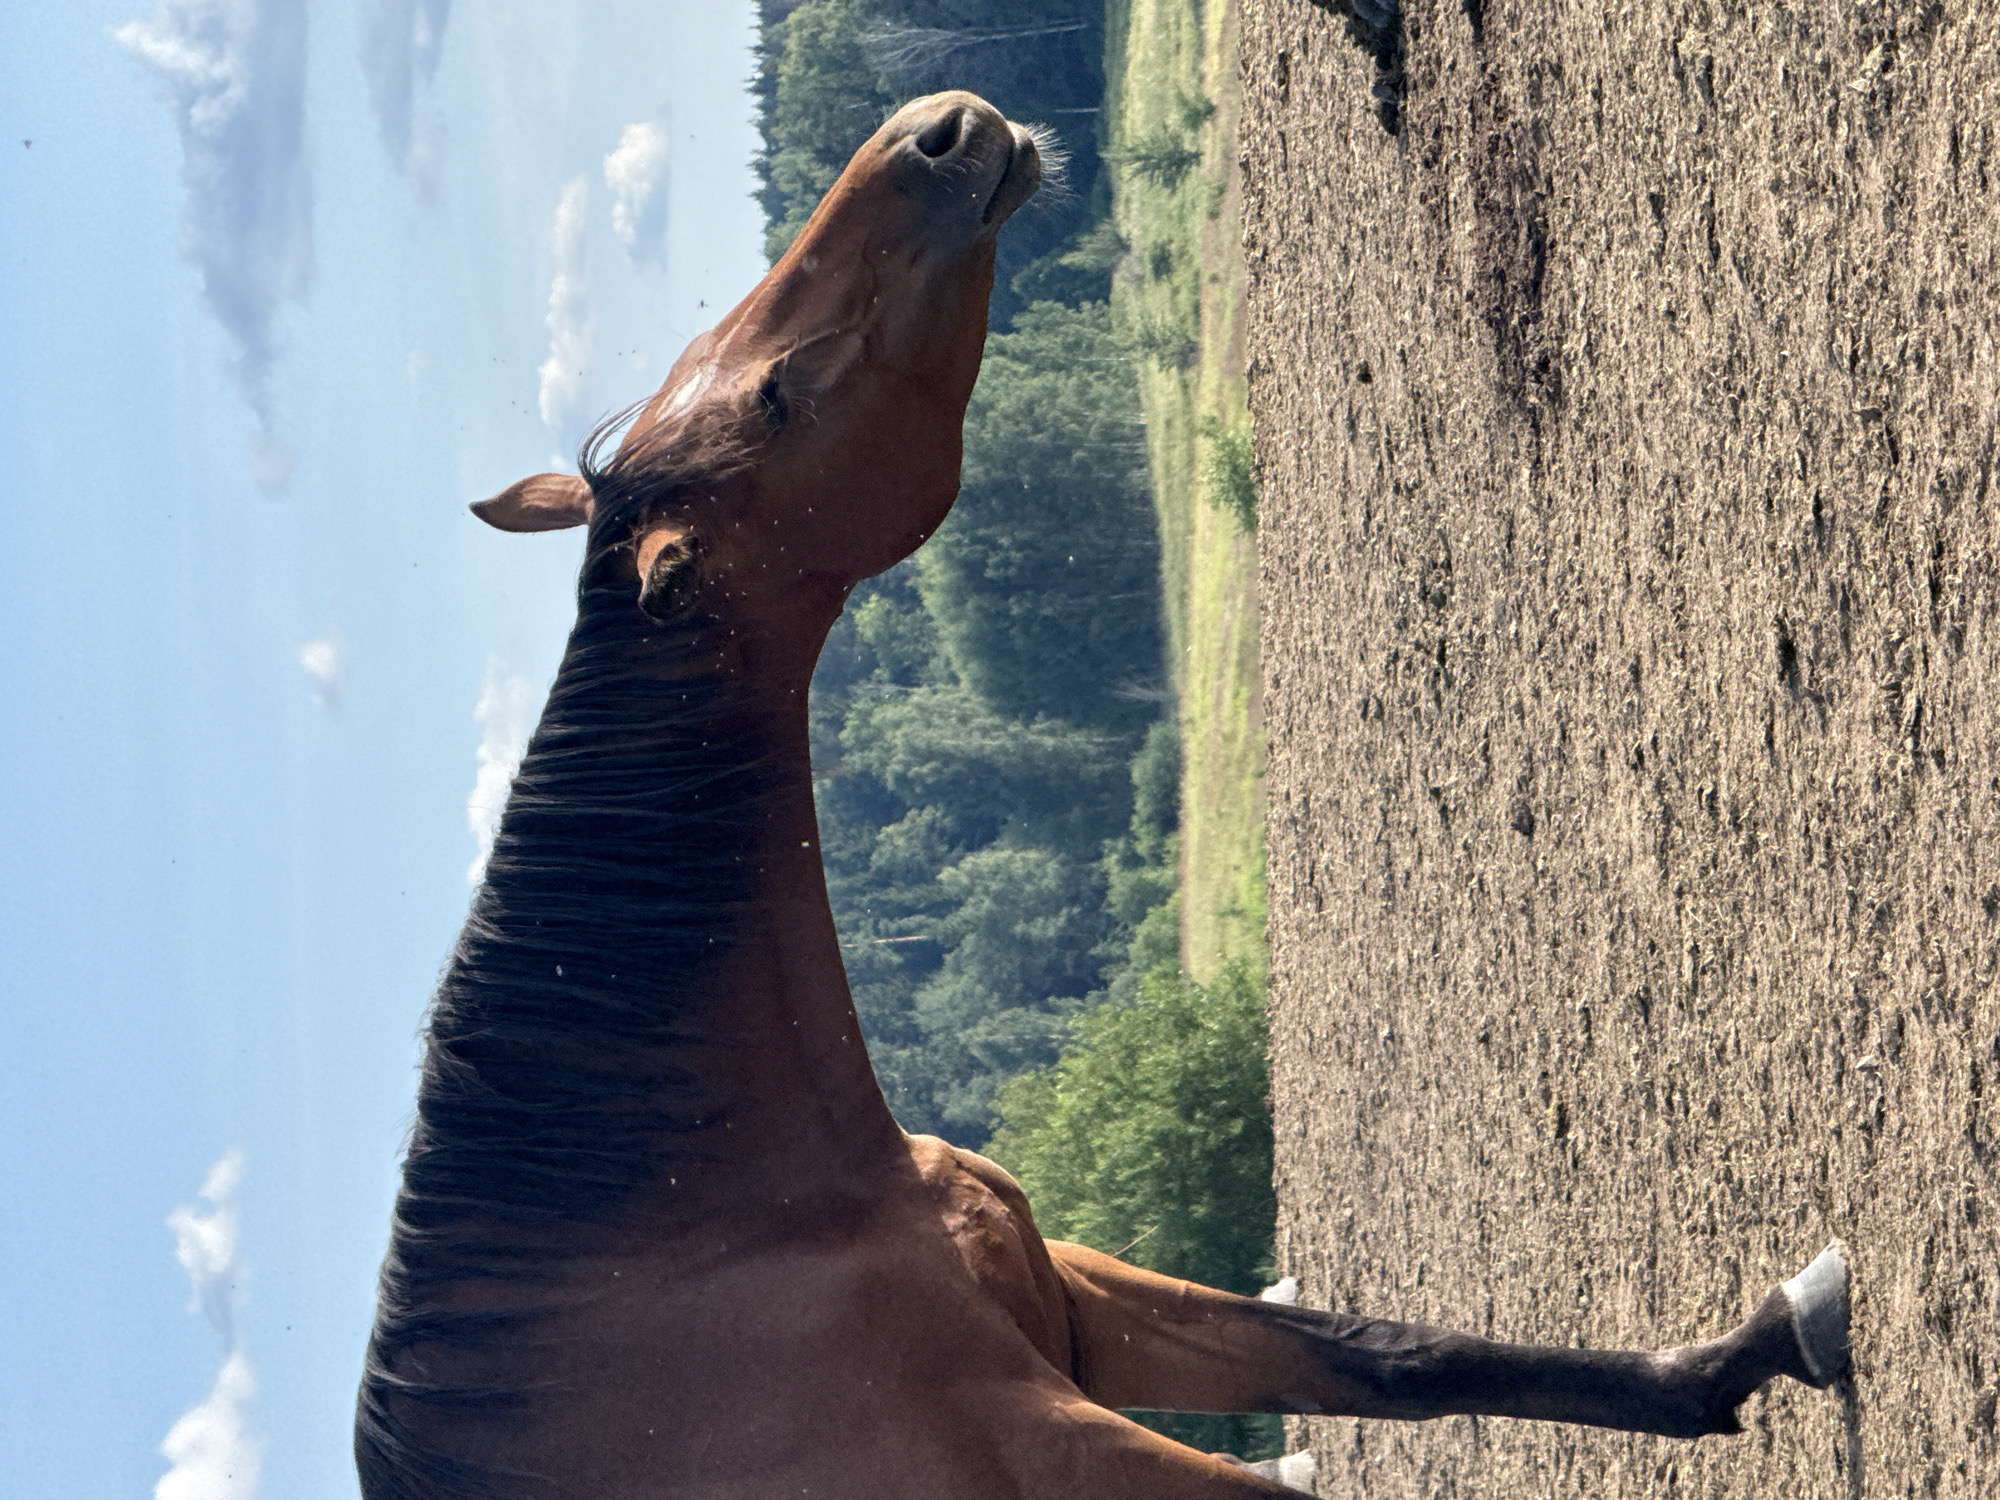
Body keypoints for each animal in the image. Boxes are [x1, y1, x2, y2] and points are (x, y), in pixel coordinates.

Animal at [355, 90, 1850, 1499]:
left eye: (720, 367)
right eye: (782, 393)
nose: (933, 133)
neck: (724, 1227)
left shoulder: (1080, 1303)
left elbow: (1394, 1355)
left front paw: (1741, 1352)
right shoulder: (1064, 1448)